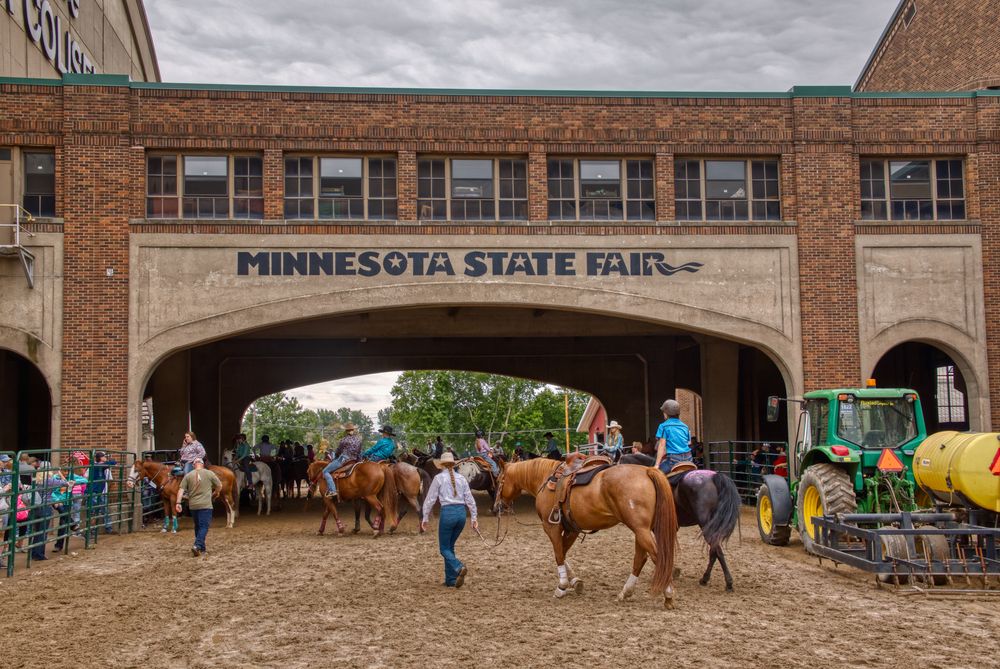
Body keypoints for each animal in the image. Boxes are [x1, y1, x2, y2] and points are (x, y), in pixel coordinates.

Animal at [492, 460, 680, 604]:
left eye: (500, 480)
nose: (496, 507)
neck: (545, 480)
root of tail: (647, 471)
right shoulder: (572, 530)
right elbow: (563, 553)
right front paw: (575, 582)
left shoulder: (551, 527)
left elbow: (558, 554)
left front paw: (562, 586)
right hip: (641, 530)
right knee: (640, 558)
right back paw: (625, 592)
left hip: (641, 530)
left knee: (658, 557)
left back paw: (668, 594)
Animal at [620, 438, 740, 588]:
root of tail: (715, 477)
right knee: (714, 550)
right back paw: (705, 578)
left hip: (706, 524)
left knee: (716, 549)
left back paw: (727, 582)